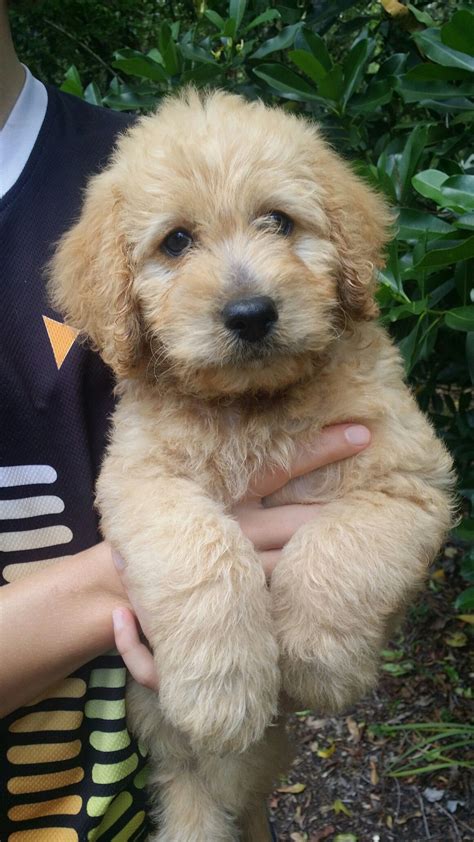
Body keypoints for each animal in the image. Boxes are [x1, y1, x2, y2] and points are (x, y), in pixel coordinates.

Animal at [49, 90, 456, 840]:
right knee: (194, 795)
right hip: (175, 752)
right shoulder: (141, 481)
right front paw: (222, 692)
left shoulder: (408, 478)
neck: (251, 406)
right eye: (176, 241)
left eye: (279, 221)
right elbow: (202, 551)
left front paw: (318, 663)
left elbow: (340, 548)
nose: (249, 313)